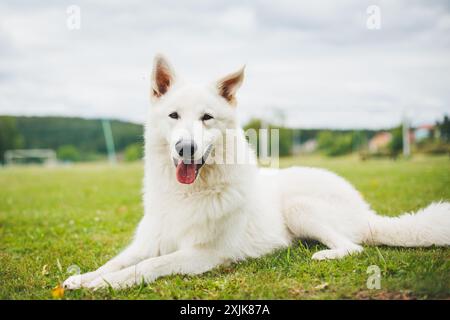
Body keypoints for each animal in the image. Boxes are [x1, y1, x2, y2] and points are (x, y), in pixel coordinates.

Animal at [65, 55, 450, 290]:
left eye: (206, 118)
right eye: (174, 116)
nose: (185, 148)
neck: (188, 193)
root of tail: (366, 210)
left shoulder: (204, 254)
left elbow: (148, 266)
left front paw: (104, 285)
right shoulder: (149, 242)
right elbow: (117, 261)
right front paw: (84, 278)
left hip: (299, 207)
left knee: (354, 247)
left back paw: (324, 253)